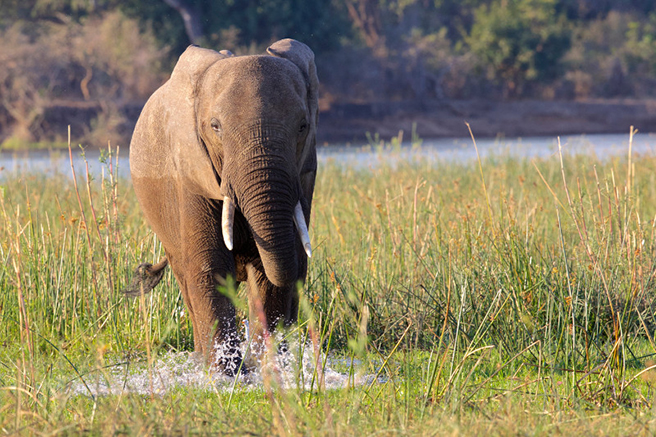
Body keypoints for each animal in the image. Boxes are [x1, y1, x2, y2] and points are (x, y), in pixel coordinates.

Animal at [126, 38, 320, 374]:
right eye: (215, 127)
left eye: (302, 126)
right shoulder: (190, 171)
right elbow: (211, 266)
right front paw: (226, 375)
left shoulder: (305, 175)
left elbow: (271, 270)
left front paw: (269, 370)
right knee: (184, 274)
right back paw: (200, 360)